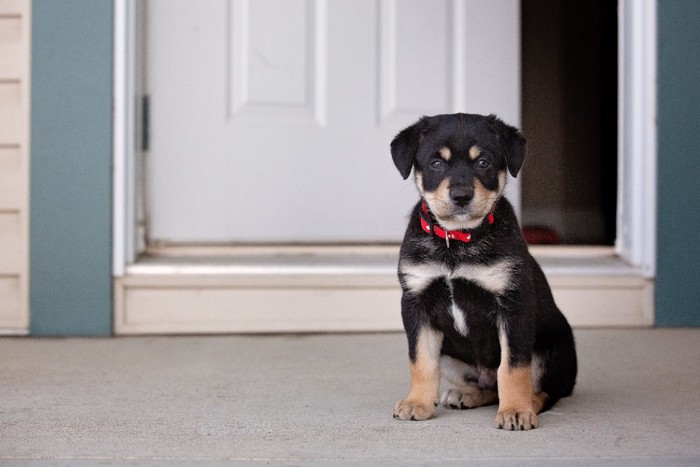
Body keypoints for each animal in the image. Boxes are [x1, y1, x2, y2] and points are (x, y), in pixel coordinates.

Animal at [388, 113, 576, 432]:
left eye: (483, 162)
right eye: (436, 163)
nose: (461, 196)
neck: (456, 241)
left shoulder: (514, 304)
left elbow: (513, 367)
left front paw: (515, 411)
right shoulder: (416, 302)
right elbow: (421, 361)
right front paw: (417, 404)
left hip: (552, 350)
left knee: (543, 389)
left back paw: (528, 403)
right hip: (450, 357)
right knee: (489, 385)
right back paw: (466, 394)